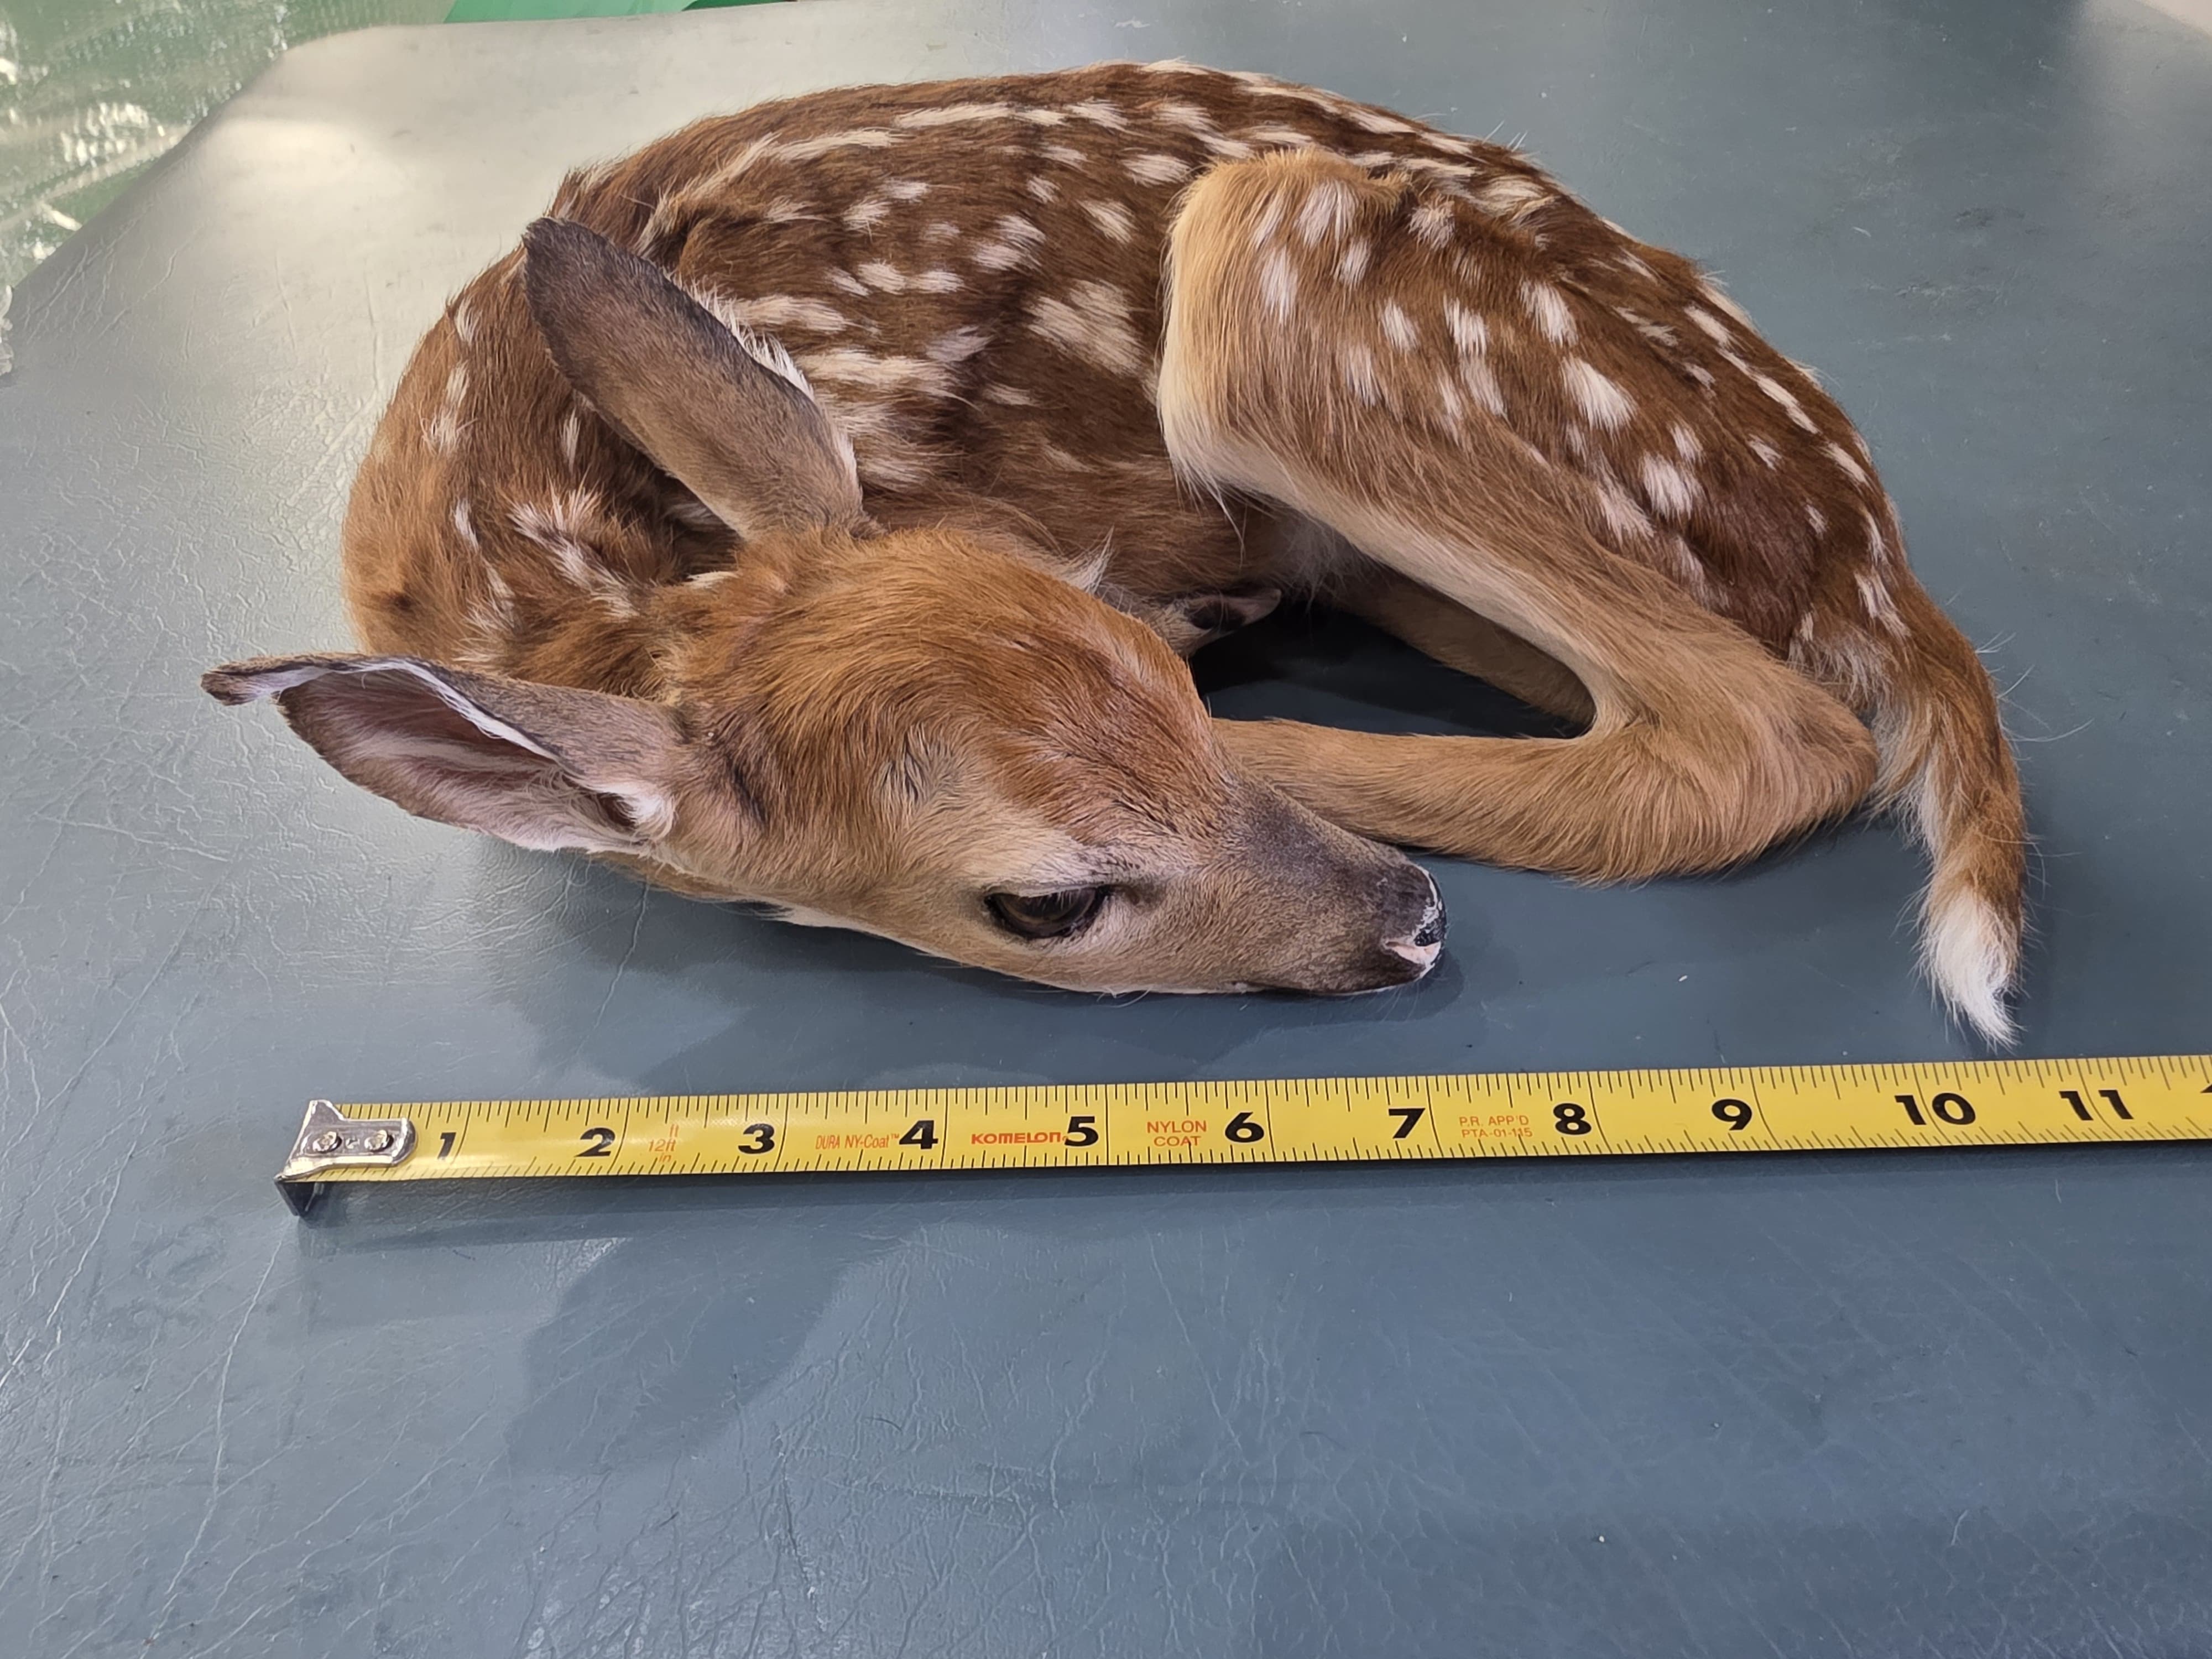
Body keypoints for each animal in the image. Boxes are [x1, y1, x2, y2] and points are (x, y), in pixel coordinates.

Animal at [203, 61, 2026, 1038]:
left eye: (1147, 675)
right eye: (1047, 903)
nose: (1411, 923)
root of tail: (1863, 552)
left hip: (1270, 271)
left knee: (1772, 737)